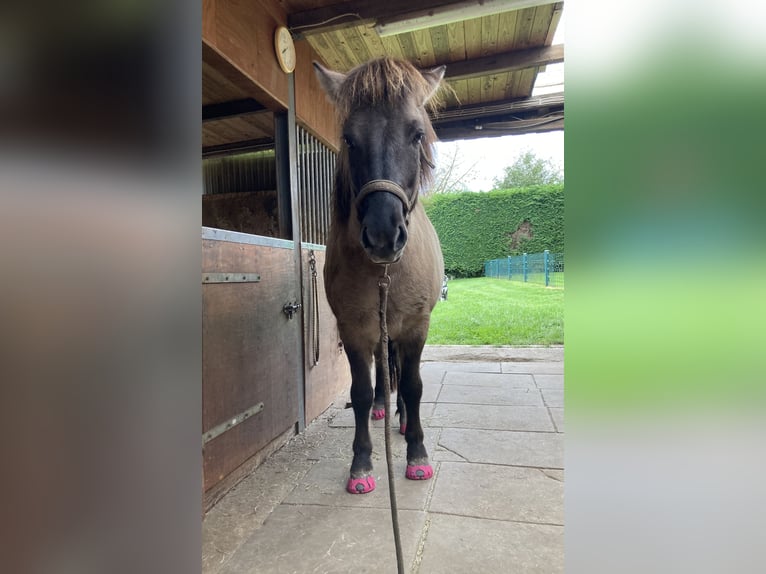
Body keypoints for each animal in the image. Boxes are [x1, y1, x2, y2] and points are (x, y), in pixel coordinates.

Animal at [314, 57, 446, 494]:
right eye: (349, 138)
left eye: (417, 134)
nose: (384, 235)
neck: (384, 270)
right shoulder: (354, 327)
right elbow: (361, 388)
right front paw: (361, 462)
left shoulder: (416, 325)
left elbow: (413, 385)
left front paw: (418, 455)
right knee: (382, 372)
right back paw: (381, 411)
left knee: (402, 375)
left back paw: (402, 420)